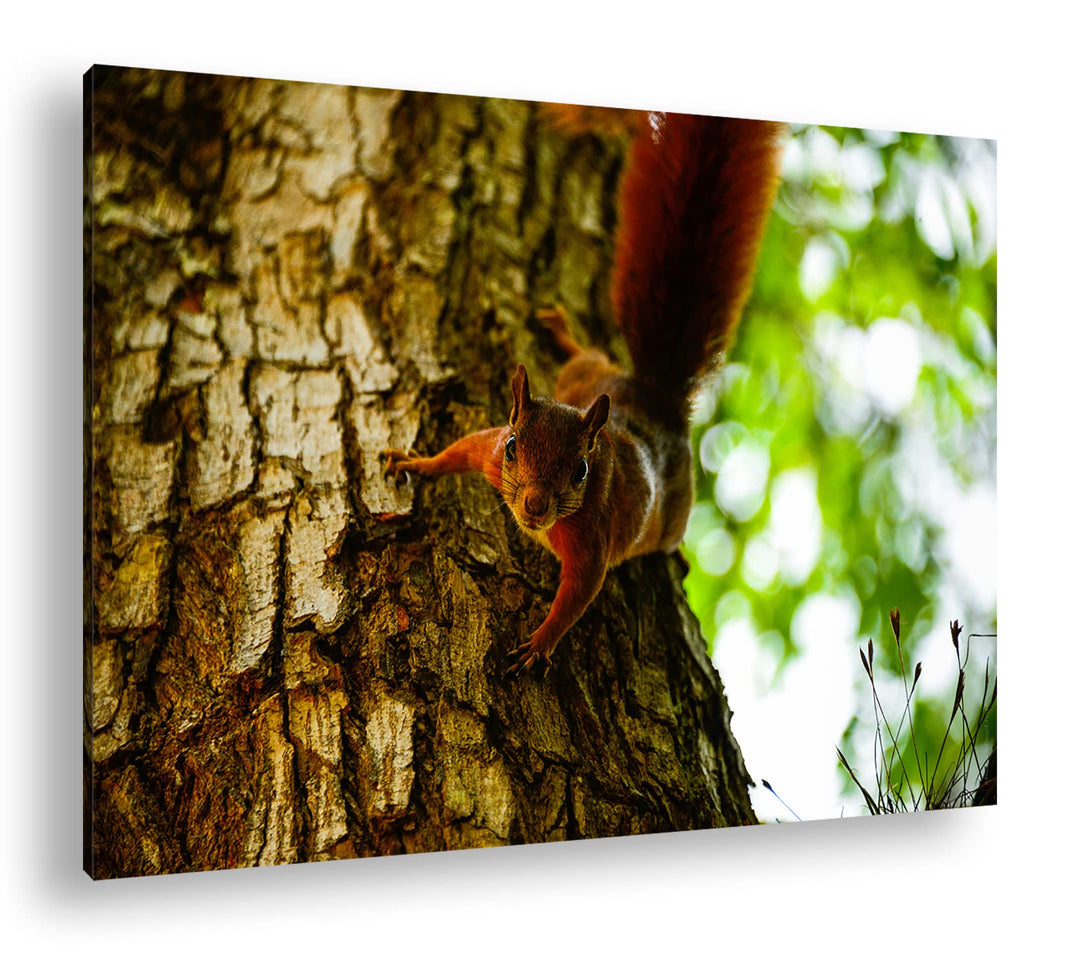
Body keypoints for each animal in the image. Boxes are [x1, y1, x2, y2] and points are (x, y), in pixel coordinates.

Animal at [384, 106, 784, 675]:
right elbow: (458, 451)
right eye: (513, 448)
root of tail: (654, 396)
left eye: (581, 471)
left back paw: (677, 554)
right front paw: (417, 463)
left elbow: (578, 594)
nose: (534, 506)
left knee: (670, 532)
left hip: (675, 505)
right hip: (585, 377)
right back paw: (560, 332)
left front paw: (539, 643)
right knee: (586, 355)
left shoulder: (592, 538)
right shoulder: (488, 450)